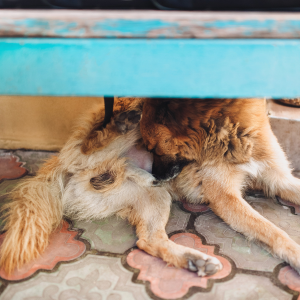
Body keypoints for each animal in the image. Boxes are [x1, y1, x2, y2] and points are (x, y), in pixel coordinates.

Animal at [0, 97, 298, 278]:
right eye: (151, 147)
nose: (157, 172)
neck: (232, 134)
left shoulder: (280, 178)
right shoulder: (226, 198)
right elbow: (274, 231)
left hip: (155, 198)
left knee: (148, 240)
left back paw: (193, 259)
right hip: (109, 132)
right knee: (89, 147)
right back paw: (120, 127)